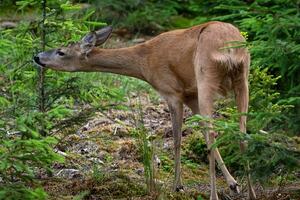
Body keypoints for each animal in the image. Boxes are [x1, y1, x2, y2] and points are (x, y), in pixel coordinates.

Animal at [34, 21, 255, 200]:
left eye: (61, 52)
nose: (36, 56)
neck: (143, 63)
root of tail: (229, 48)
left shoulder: (172, 92)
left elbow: (177, 141)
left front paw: (177, 186)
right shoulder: (190, 95)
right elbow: (200, 134)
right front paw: (233, 184)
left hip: (206, 75)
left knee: (213, 134)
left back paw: (213, 195)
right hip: (242, 77)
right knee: (241, 133)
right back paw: (251, 193)